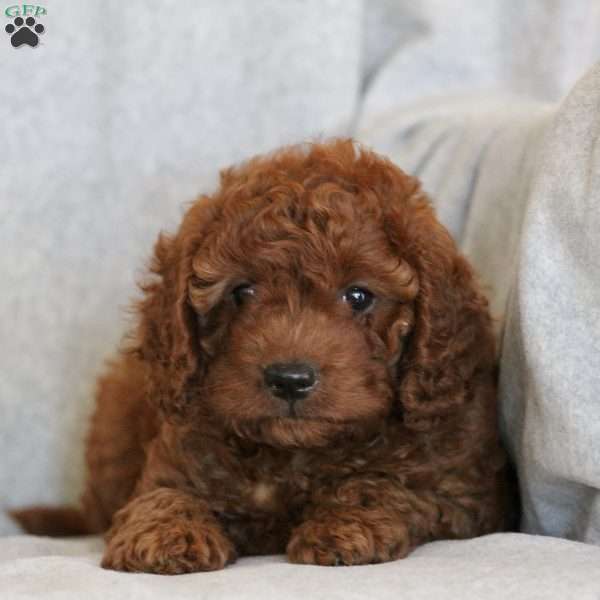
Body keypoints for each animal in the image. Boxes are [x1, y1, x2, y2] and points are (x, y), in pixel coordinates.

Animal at [12, 139, 510, 572]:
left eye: (359, 295)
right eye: (242, 292)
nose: (289, 378)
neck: (294, 453)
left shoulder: (461, 490)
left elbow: (385, 485)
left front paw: (345, 527)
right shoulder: (175, 459)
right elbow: (161, 496)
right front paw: (165, 536)